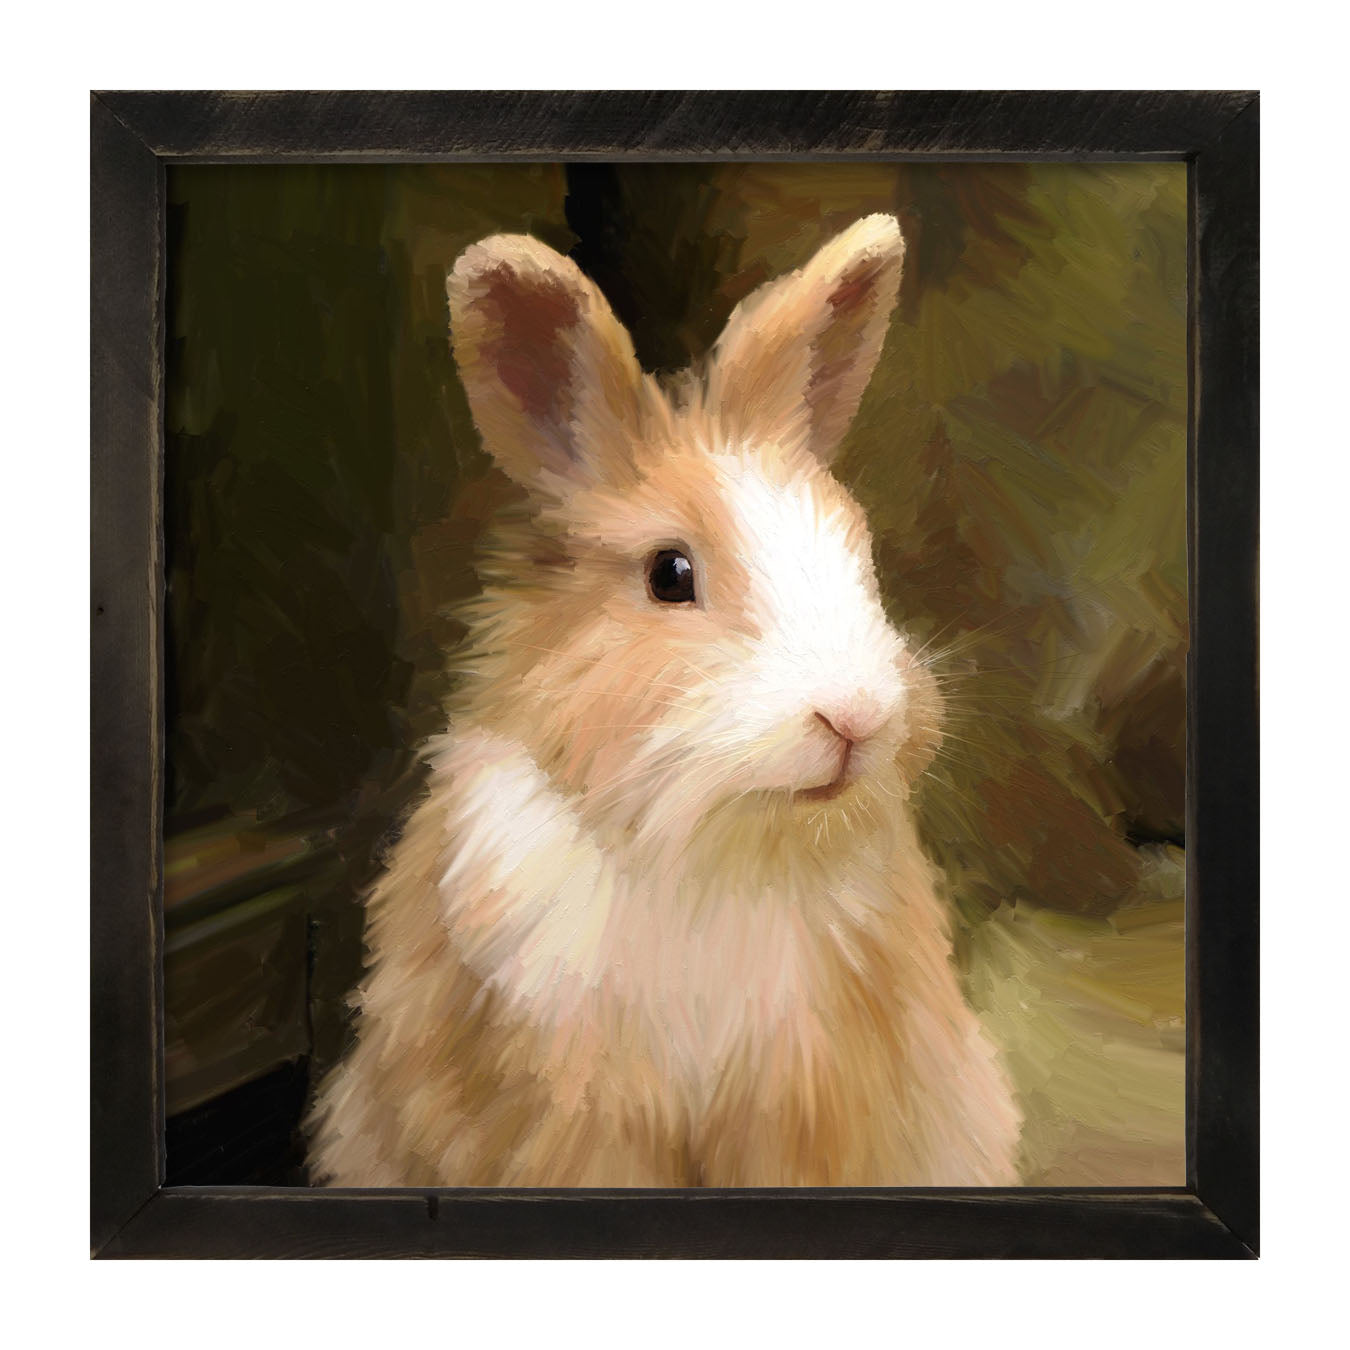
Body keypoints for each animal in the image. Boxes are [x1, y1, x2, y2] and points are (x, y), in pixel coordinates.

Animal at [308, 214, 1022, 1187]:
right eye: (669, 575)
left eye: (858, 551)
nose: (858, 716)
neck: (708, 849)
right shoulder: (574, 1105)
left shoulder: (805, 1098)